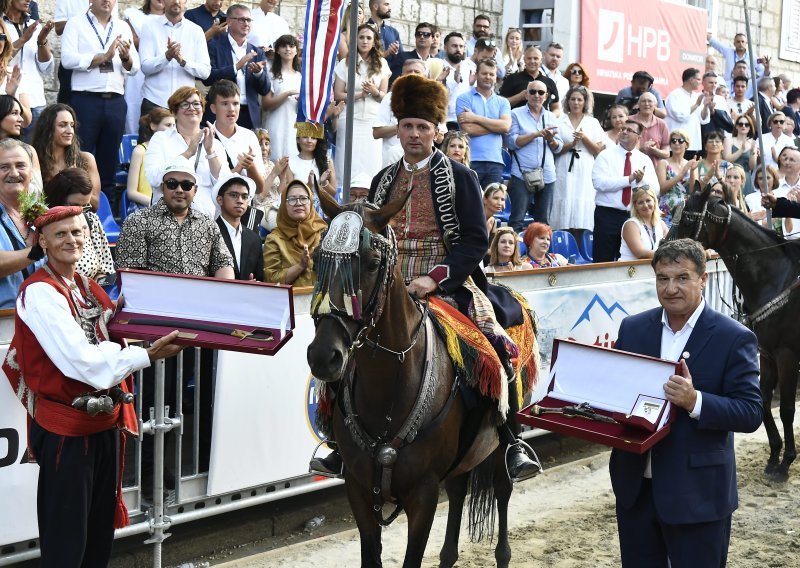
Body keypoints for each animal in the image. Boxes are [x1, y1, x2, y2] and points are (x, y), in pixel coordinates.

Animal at [306, 192, 532, 568]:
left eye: (372, 263)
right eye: (317, 261)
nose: (323, 356)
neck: (388, 388)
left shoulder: (423, 496)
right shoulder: (359, 491)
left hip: (500, 447)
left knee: (503, 491)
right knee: (458, 490)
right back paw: (449, 555)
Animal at [672, 186, 800, 480]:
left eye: (687, 219)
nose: (662, 250)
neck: (774, 277)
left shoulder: (787, 355)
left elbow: (787, 409)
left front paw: (785, 463)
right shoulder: (766, 354)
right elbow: (762, 402)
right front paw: (774, 457)